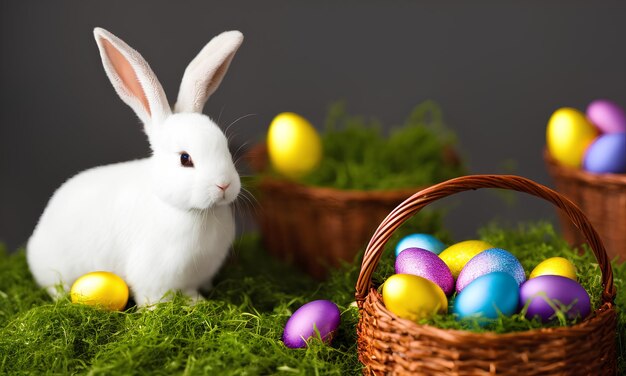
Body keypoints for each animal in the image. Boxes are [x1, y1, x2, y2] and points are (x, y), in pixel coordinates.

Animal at [28, 27, 245, 308]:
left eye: (225, 147)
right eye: (185, 159)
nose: (224, 185)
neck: (195, 213)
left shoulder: (196, 276)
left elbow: (191, 292)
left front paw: (198, 303)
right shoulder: (154, 276)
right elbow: (154, 298)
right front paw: (159, 310)